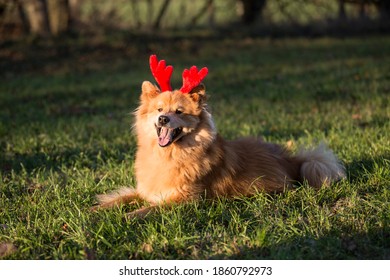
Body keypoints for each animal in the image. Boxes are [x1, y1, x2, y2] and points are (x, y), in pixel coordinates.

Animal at [93, 54, 344, 217]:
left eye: (179, 112)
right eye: (159, 109)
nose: (163, 119)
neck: (168, 156)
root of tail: (292, 160)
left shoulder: (186, 199)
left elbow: (146, 209)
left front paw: (125, 217)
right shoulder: (147, 190)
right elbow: (121, 197)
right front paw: (96, 210)